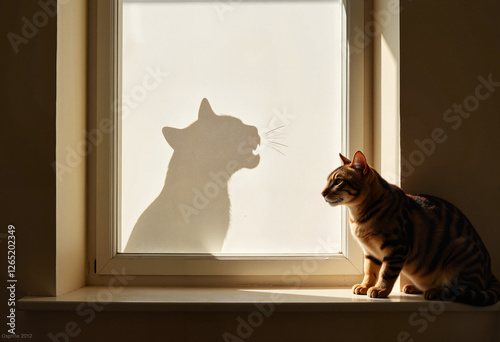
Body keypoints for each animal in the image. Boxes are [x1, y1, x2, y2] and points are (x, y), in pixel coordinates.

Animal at [322, 151, 498, 306]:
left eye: (338, 182)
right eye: (328, 181)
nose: (322, 193)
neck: (358, 216)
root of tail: (490, 273)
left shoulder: (396, 248)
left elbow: (386, 273)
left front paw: (380, 289)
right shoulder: (371, 252)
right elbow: (370, 271)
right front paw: (365, 286)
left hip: (460, 252)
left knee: (460, 290)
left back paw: (435, 291)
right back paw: (415, 287)